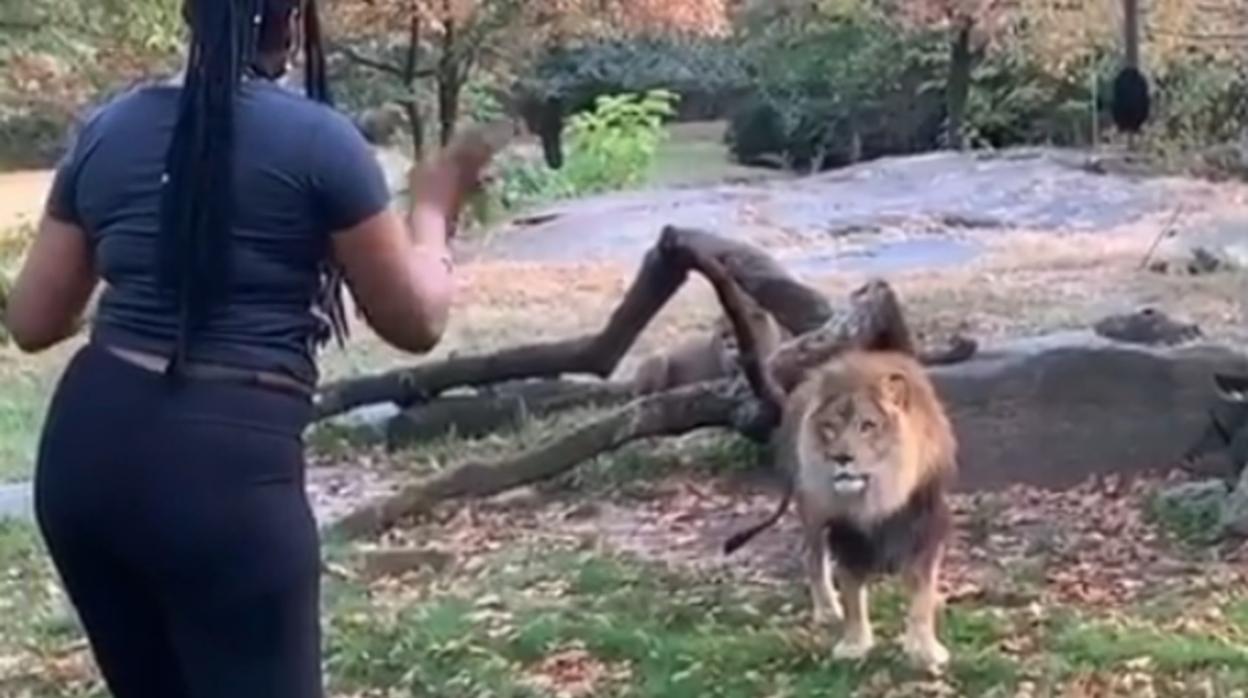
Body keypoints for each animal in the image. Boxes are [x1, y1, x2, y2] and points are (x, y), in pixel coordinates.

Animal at [723, 352, 953, 674]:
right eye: (830, 426)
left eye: (867, 425)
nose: (841, 458)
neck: (878, 497)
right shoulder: (845, 536)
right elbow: (852, 595)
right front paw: (854, 646)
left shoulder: (924, 531)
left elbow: (921, 598)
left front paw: (925, 651)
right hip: (812, 510)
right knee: (812, 557)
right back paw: (828, 610)